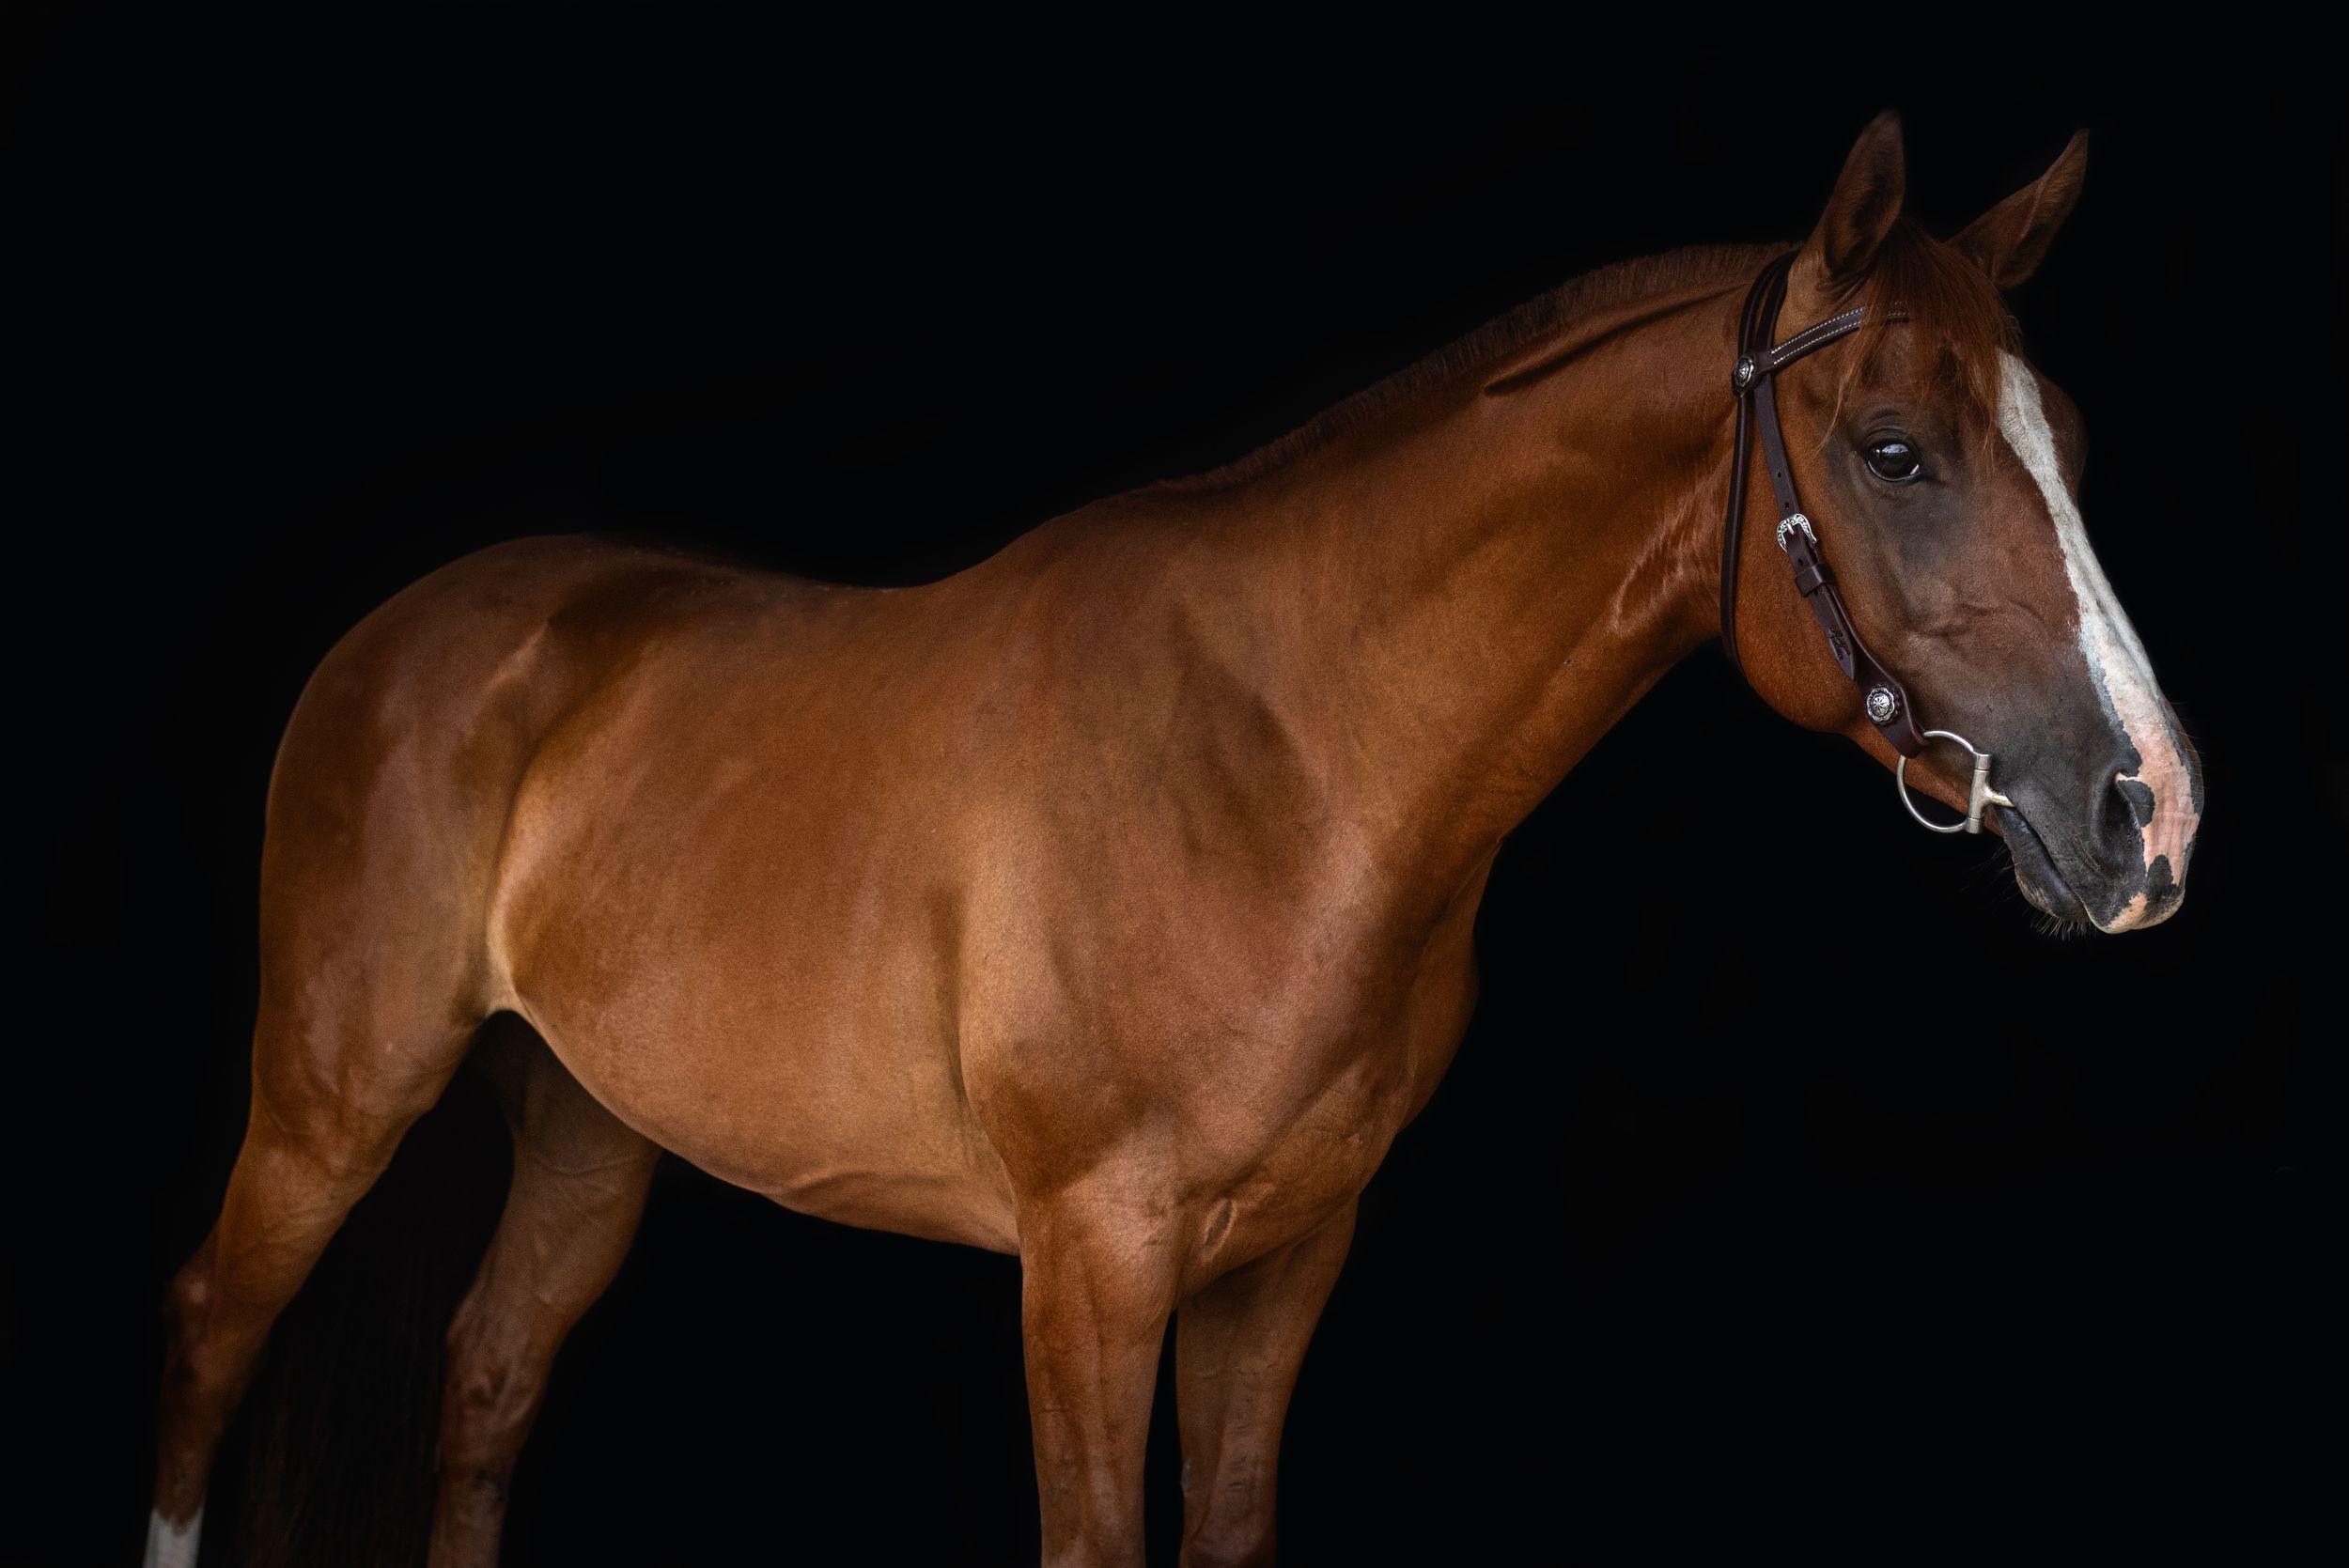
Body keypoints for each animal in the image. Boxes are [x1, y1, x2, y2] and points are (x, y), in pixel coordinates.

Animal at [147, 112, 2202, 1568]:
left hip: (586, 1127)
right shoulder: (1091, 1263)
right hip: (331, 1100)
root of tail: (412, 628)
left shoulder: (1284, 1260)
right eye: (1890, 448)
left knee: (486, 1387)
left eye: (2071, 440)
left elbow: (1225, 1527)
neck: (1291, 761)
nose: (2150, 813)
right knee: (207, 1344)